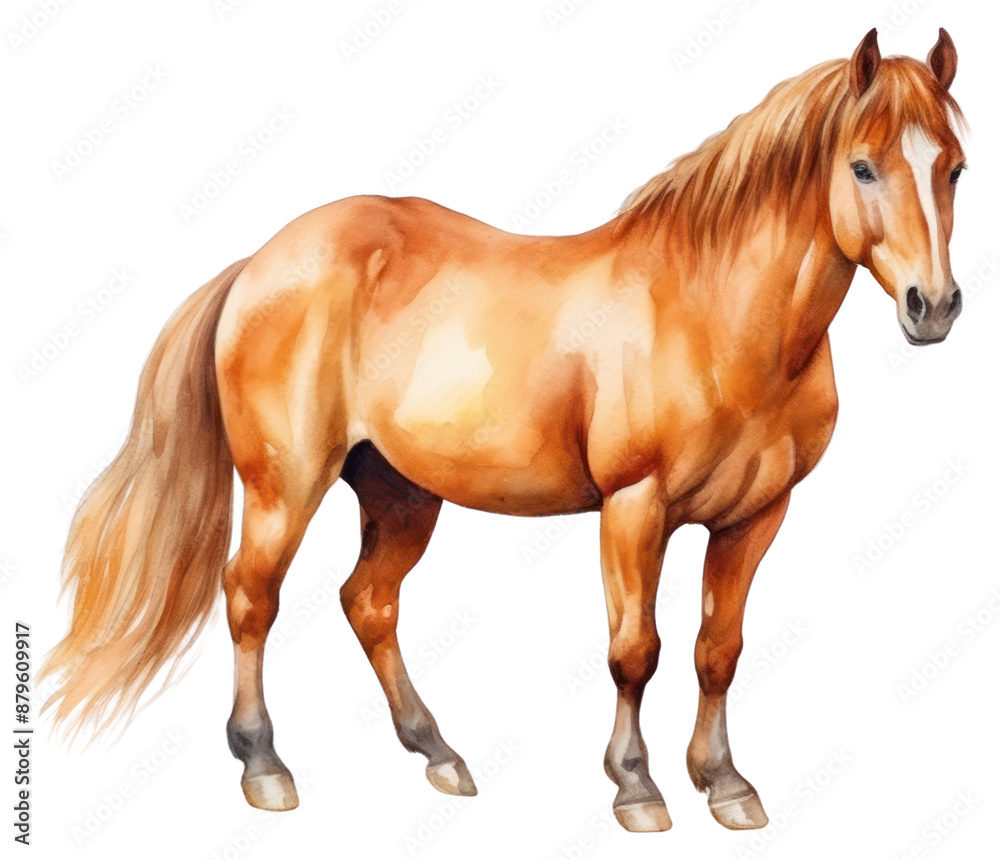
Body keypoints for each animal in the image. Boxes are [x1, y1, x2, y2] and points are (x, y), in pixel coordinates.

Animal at [42, 27, 967, 833]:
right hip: (285, 487)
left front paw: (726, 783)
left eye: (955, 168)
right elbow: (635, 648)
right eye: (862, 167)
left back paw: (438, 753)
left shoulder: (754, 518)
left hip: (400, 493)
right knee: (251, 598)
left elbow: (718, 650)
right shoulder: (634, 509)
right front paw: (637, 788)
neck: (717, 316)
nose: (935, 307)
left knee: (368, 601)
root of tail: (258, 265)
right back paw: (265, 766)